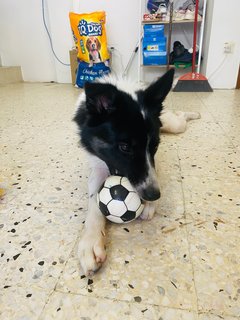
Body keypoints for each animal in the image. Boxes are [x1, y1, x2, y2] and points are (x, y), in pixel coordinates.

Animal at [73, 69, 201, 276]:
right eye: (125, 147)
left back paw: (193, 113)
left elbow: (154, 171)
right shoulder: (98, 166)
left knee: (180, 116)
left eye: (155, 145)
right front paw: (91, 240)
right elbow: (94, 201)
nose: (153, 195)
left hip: (174, 125)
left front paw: (149, 205)